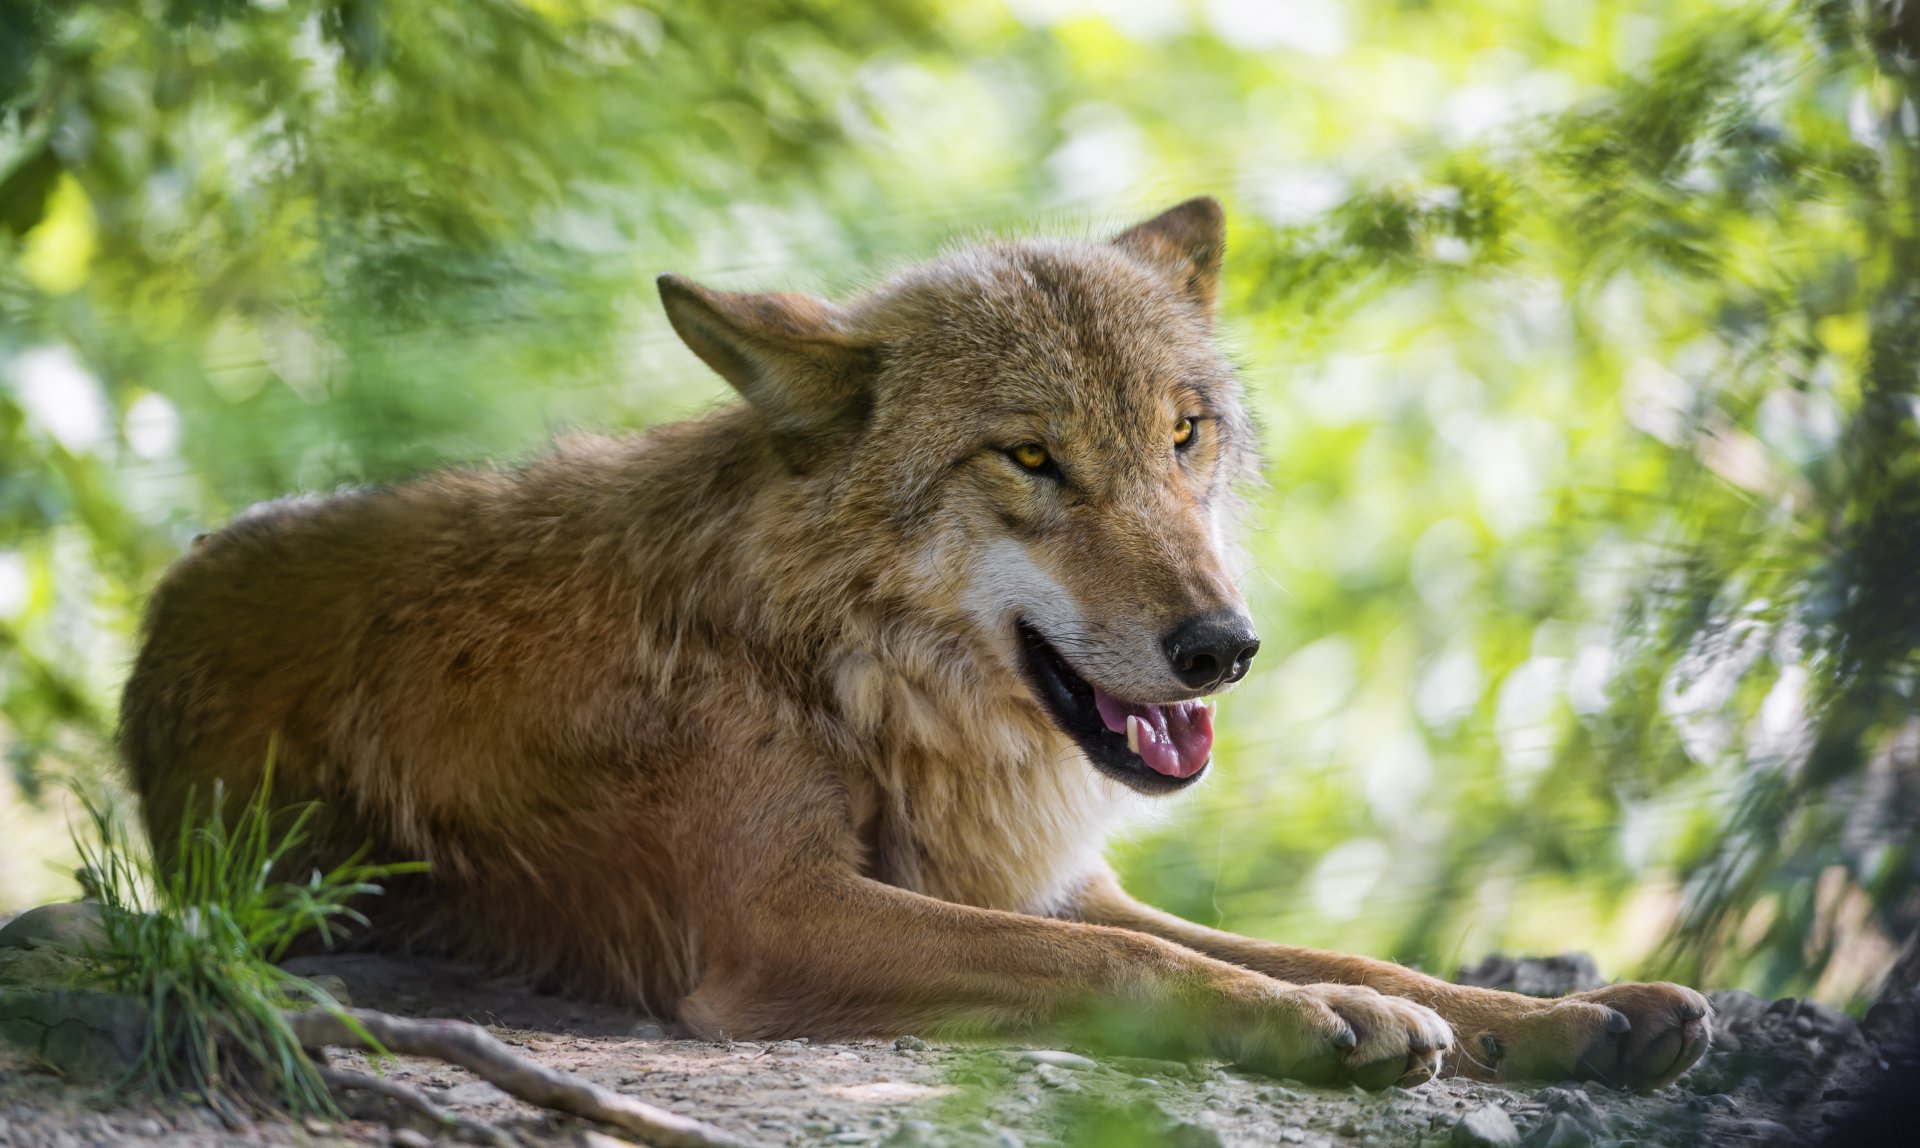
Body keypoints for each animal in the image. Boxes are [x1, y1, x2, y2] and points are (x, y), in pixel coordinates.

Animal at [120, 198, 1709, 1091]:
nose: (1224, 647)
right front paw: (1323, 1020)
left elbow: (1313, 942)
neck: (835, 669)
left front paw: (1569, 1015)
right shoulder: (780, 918)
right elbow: (1143, 968)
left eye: (1183, 434)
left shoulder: (1055, 880)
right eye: (1032, 456)